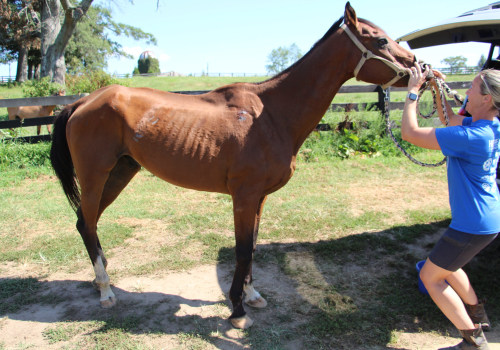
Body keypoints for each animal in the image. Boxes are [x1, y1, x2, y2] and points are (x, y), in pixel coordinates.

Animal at [49, 2, 418, 330]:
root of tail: (83, 101)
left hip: (120, 172)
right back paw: (106, 291)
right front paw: (238, 310)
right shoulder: (244, 196)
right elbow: (241, 251)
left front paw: (252, 295)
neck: (271, 114)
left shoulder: (260, 198)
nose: (418, 66)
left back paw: (102, 280)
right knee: (88, 224)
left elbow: (252, 247)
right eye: (381, 41)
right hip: (95, 176)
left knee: (85, 221)